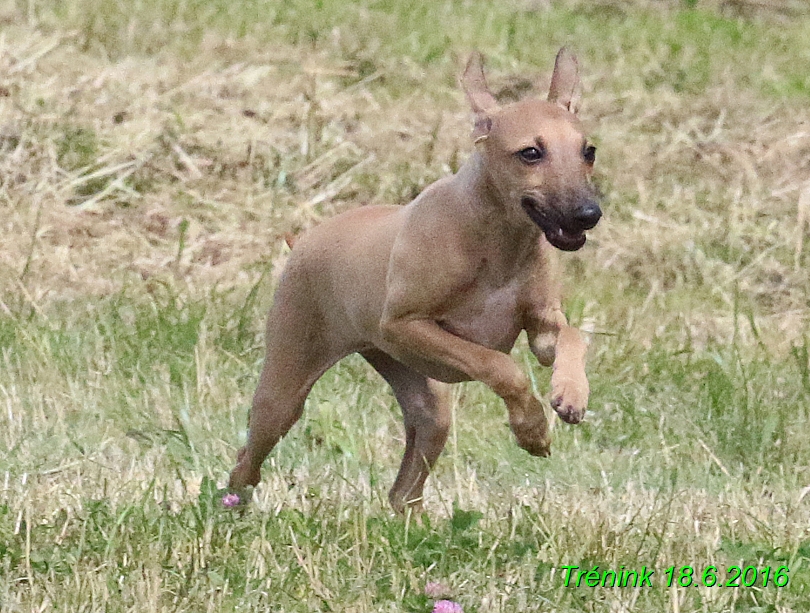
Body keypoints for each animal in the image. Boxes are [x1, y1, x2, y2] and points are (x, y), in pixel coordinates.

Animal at [227, 49, 600, 512]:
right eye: (530, 152)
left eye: (589, 151)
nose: (588, 214)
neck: (496, 241)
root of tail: (303, 241)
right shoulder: (404, 326)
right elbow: (500, 364)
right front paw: (531, 428)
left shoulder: (542, 328)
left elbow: (570, 337)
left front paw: (571, 394)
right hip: (285, 388)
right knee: (247, 460)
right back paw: (232, 507)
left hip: (425, 402)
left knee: (404, 489)